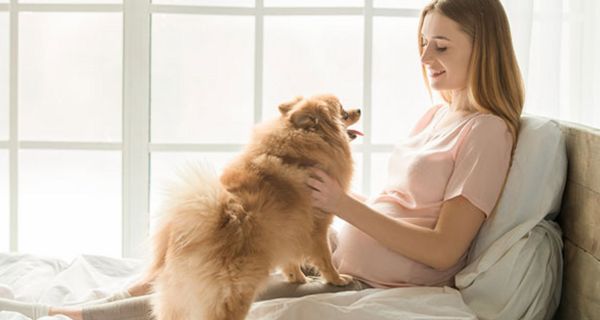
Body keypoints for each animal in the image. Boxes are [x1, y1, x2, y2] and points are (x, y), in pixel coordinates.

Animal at [146, 95, 360, 320]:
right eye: (344, 113)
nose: (359, 110)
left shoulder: (289, 232)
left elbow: (290, 260)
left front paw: (298, 278)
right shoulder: (317, 226)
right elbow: (325, 258)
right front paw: (337, 279)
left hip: (176, 300)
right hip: (237, 290)